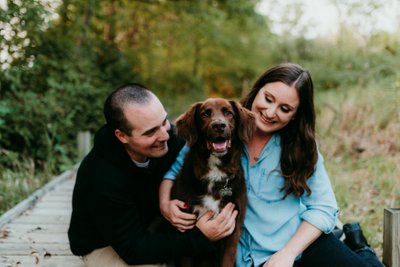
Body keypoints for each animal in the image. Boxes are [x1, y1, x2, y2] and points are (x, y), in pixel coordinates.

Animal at [170, 98, 255, 267]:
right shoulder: (186, 225)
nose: (219, 125)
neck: (215, 171)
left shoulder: (233, 228)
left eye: (228, 113)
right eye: (205, 114)